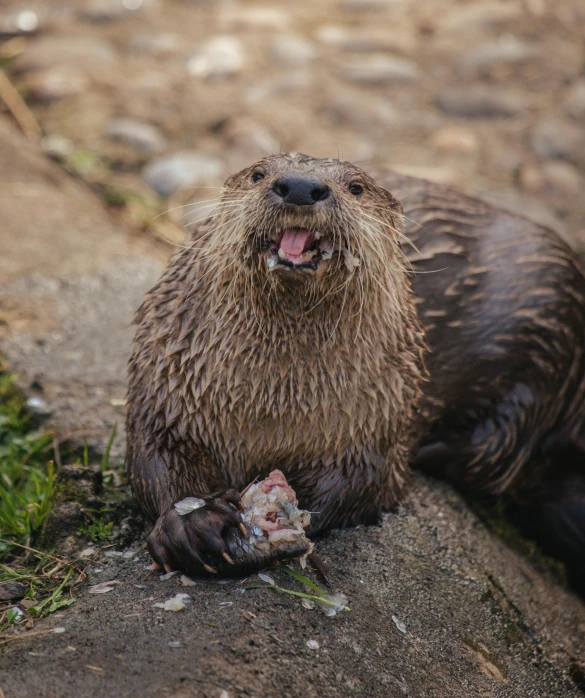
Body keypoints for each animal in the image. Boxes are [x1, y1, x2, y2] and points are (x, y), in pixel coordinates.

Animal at [125, 154, 584, 588]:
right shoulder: (166, 391)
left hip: (549, 323)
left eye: (356, 187)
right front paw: (194, 523)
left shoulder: (376, 420)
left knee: (499, 450)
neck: (270, 408)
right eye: (258, 174)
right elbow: (154, 462)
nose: (300, 186)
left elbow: (361, 483)